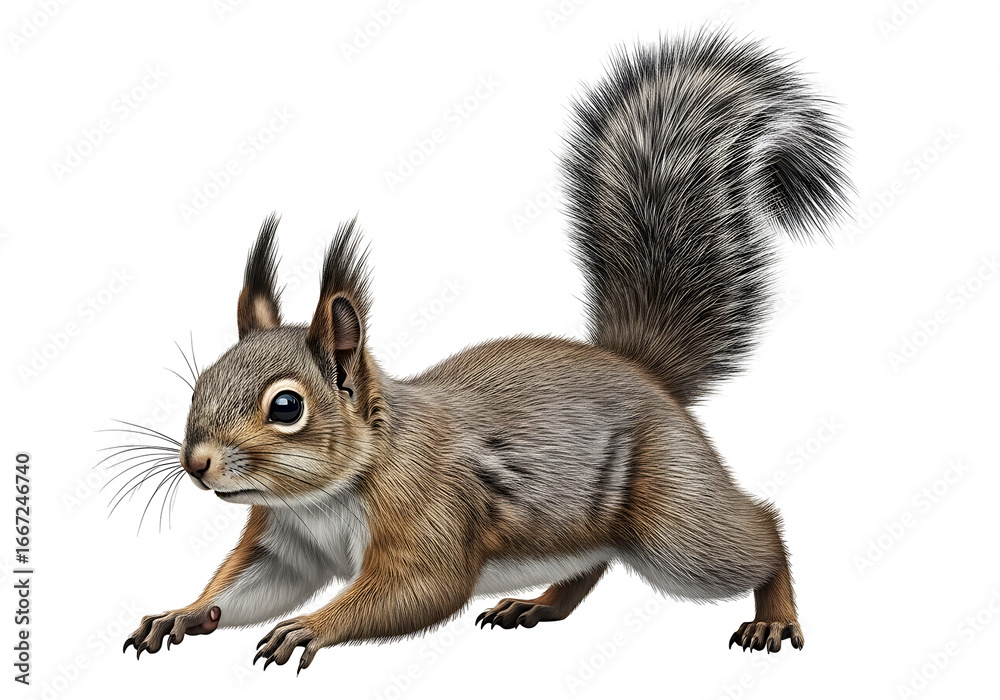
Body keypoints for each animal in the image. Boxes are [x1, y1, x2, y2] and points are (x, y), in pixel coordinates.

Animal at [122, 30, 849, 673]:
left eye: (286, 407)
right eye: (200, 384)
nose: (195, 463)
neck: (323, 499)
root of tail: (642, 372)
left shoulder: (429, 513)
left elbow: (419, 589)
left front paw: (311, 626)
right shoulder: (284, 542)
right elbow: (250, 587)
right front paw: (184, 612)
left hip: (673, 515)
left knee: (756, 532)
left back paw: (773, 613)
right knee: (591, 562)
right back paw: (538, 606)